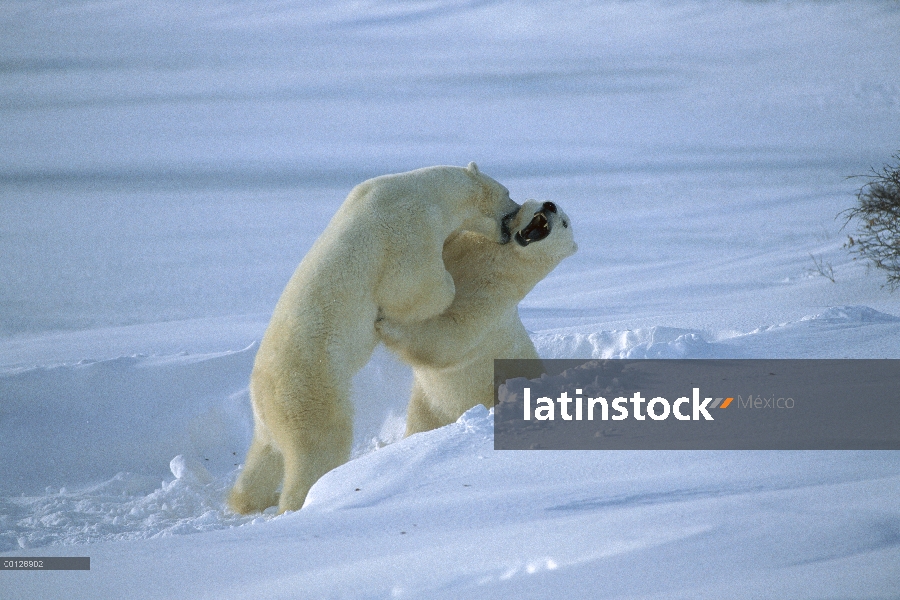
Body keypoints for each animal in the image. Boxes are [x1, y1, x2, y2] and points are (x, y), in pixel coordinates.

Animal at [227, 164, 520, 516]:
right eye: (507, 192)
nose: (519, 209)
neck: (429, 192)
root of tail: (262, 393)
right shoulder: (407, 232)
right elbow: (413, 288)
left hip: (269, 414)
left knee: (263, 457)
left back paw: (249, 501)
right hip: (309, 389)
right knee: (320, 447)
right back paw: (303, 500)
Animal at [378, 199, 576, 434]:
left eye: (565, 223)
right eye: (542, 201)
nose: (550, 205)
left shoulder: (492, 303)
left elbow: (452, 337)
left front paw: (386, 323)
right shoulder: (457, 250)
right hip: (428, 404)